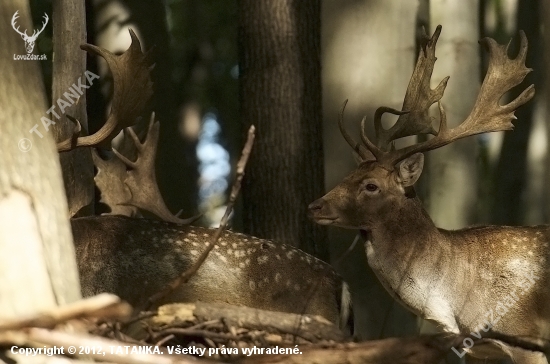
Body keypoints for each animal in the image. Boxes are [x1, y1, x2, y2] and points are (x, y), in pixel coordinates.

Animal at [310, 24, 548, 362]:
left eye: (371, 185)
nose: (314, 206)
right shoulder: (477, 349)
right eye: (348, 175)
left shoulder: (524, 336)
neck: (454, 304)